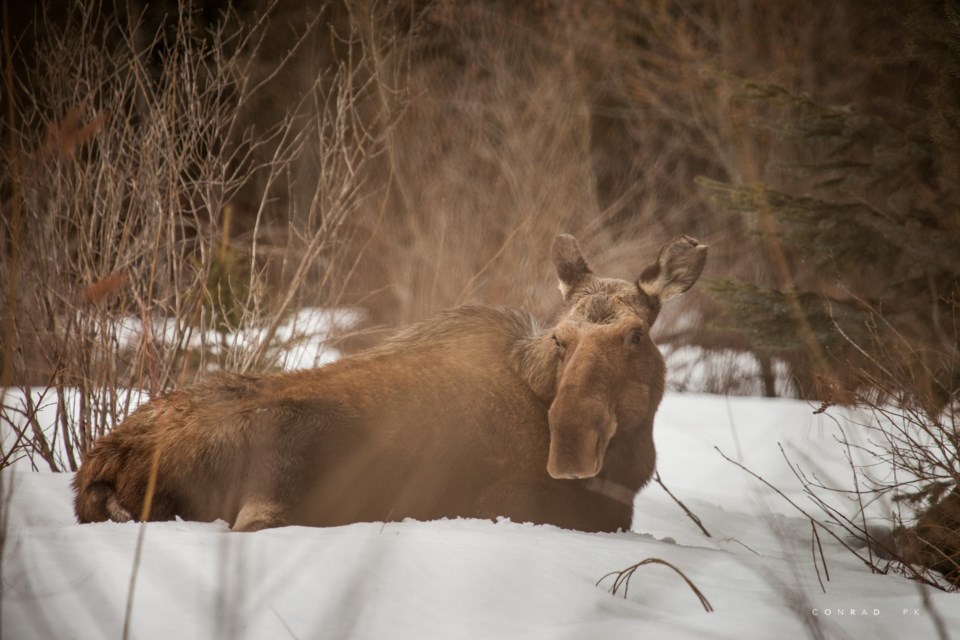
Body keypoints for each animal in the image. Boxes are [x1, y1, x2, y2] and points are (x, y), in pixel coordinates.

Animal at [75, 232, 704, 532]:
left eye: (635, 336)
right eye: (560, 339)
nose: (572, 441)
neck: (629, 465)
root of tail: (100, 467)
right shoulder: (507, 500)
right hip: (294, 443)